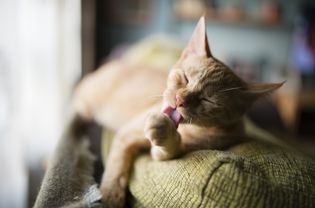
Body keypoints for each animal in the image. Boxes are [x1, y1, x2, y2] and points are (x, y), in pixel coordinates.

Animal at [73, 16, 286, 208]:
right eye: (185, 78)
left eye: (207, 99)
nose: (179, 100)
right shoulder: (127, 134)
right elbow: (116, 168)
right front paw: (111, 196)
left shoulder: (171, 151)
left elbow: (167, 149)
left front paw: (164, 131)